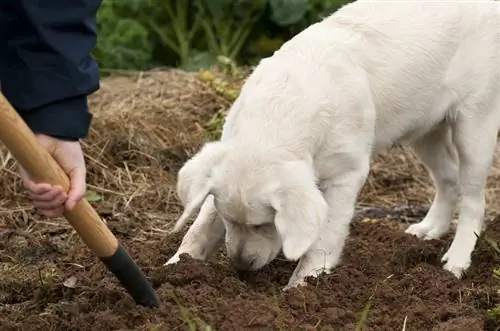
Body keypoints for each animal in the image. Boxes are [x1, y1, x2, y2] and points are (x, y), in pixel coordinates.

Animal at [165, 0, 500, 290]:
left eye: (265, 224)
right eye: (228, 220)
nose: (240, 266)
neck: (278, 116)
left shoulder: (346, 174)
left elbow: (325, 235)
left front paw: (301, 287)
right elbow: (199, 227)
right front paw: (173, 268)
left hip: (476, 122)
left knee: (473, 199)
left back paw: (455, 263)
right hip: (425, 129)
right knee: (448, 179)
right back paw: (427, 231)